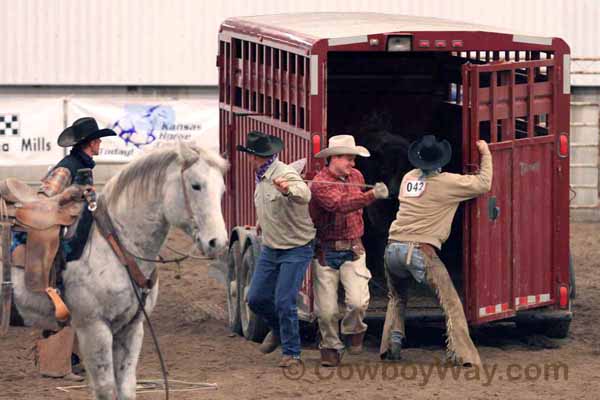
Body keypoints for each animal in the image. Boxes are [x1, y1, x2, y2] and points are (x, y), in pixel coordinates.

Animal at [9, 142, 230, 398]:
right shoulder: (94, 328)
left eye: (222, 190)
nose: (218, 242)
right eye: (196, 185)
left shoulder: (131, 328)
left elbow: (126, 386)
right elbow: (106, 388)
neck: (116, 244)